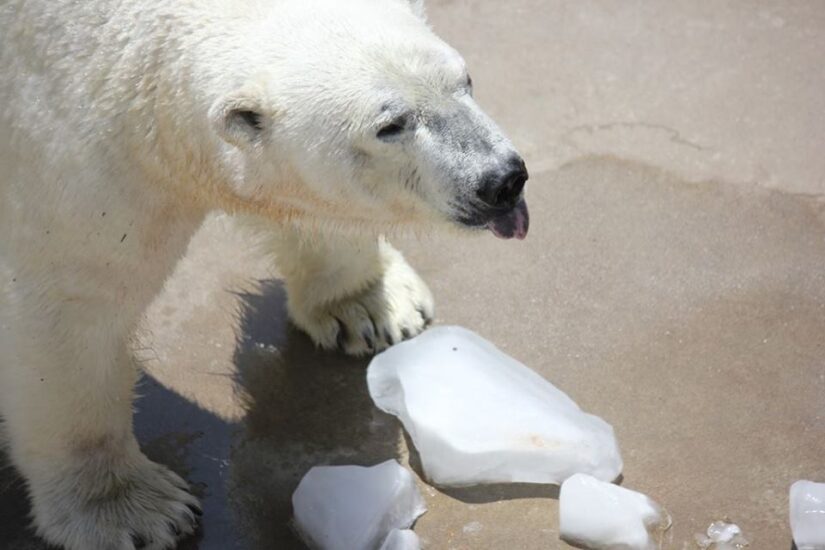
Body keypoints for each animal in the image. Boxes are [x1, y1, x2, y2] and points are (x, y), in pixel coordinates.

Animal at [0, 0, 528, 548]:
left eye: (466, 80)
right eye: (391, 124)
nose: (501, 179)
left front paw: (371, 307)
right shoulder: (74, 152)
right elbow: (74, 309)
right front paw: (131, 510)